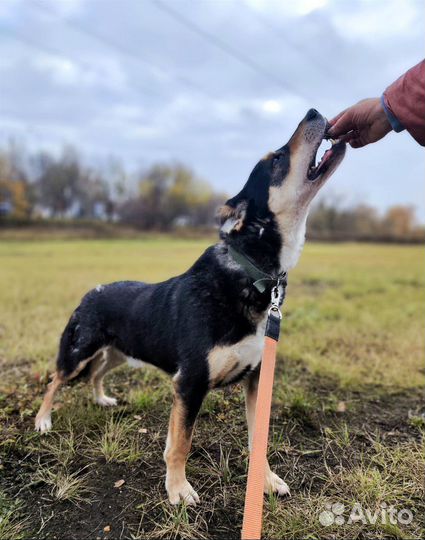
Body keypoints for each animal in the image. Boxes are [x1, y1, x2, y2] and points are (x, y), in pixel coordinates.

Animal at [34, 109, 342, 506]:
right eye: (276, 159)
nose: (314, 112)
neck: (252, 272)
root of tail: (91, 292)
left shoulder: (256, 378)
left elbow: (257, 437)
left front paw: (267, 480)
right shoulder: (190, 382)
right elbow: (180, 443)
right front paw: (178, 489)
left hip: (118, 352)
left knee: (97, 374)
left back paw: (101, 399)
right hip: (79, 350)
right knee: (56, 380)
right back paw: (43, 420)